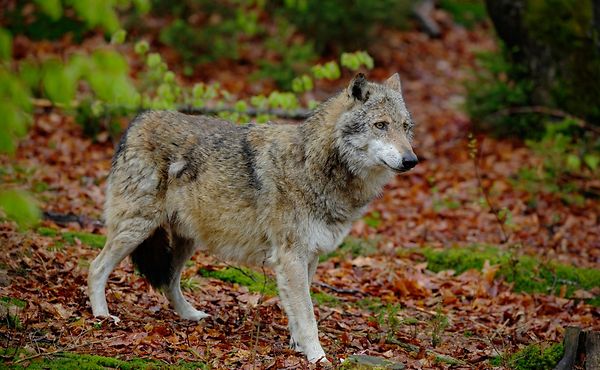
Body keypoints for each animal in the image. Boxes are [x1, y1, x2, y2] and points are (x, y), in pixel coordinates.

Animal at [88, 73, 418, 362]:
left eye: (405, 127)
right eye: (380, 125)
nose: (411, 160)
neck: (315, 164)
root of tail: (137, 121)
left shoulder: (309, 257)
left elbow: (298, 311)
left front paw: (298, 347)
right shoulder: (291, 256)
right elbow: (308, 315)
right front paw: (318, 357)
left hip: (186, 240)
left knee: (169, 282)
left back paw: (191, 316)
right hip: (137, 229)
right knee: (96, 267)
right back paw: (102, 315)